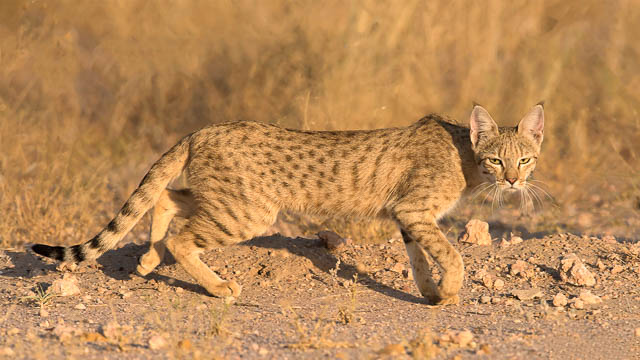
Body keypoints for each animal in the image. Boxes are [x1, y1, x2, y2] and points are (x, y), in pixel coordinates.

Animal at [31, 103, 544, 304]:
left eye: (526, 159)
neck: (465, 156)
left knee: (166, 198)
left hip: (228, 200)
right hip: (248, 212)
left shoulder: (407, 216)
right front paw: (451, 291)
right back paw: (216, 286)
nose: (514, 180)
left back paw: (146, 260)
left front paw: (432, 294)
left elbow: (420, 259)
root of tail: (202, 129)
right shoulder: (414, 211)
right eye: (497, 159)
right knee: (182, 234)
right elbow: (452, 255)